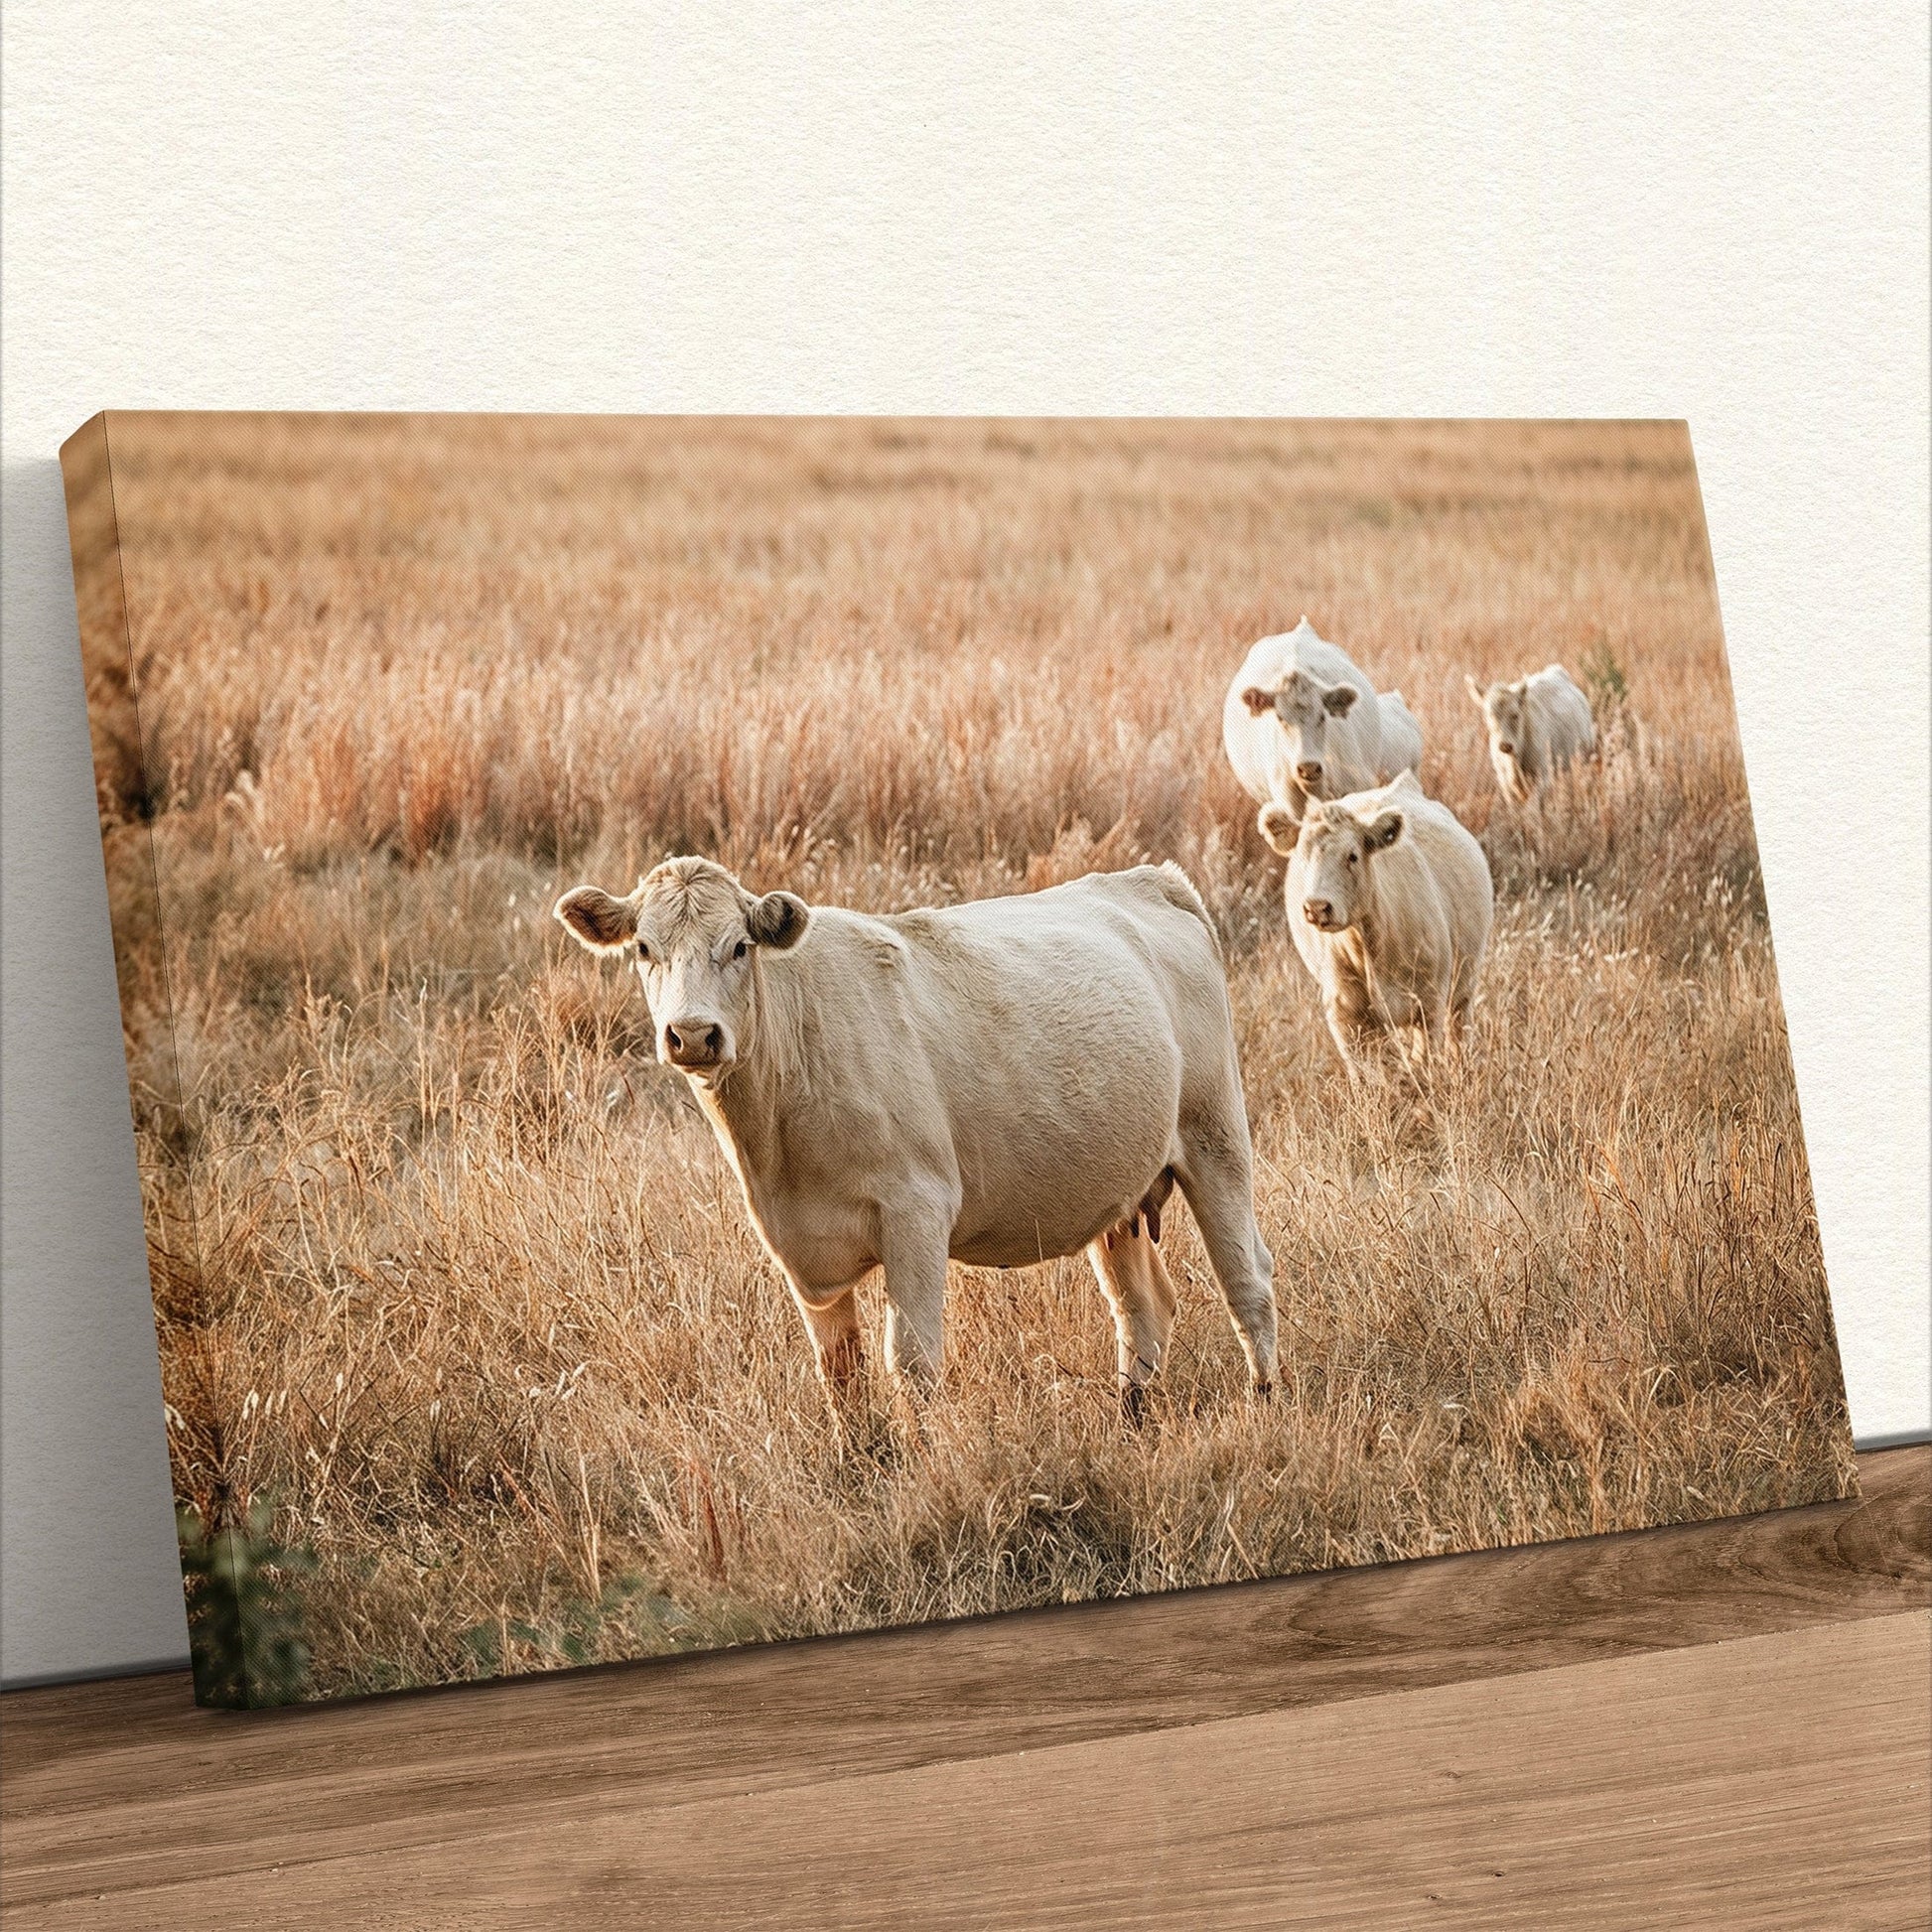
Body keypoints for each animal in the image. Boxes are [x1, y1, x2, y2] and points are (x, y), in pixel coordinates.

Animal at [555, 857, 1279, 1416]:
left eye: (738, 946)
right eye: (644, 949)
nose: (693, 1034)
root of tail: (1152, 879)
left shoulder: (917, 1210)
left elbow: (912, 1361)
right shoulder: (798, 1246)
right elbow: (840, 1372)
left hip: (1215, 1139)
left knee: (1248, 1281)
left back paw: (1264, 1403)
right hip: (1118, 1190)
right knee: (1142, 1307)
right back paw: (1130, 1418)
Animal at [1257, 771, 1493, 1075]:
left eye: (1353, 855)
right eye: (1301, 856)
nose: (1317, 907)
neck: (1369, 943)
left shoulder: (1430, 1003)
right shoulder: (1346, 1013)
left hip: (1463, 986)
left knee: (1458, 1034)